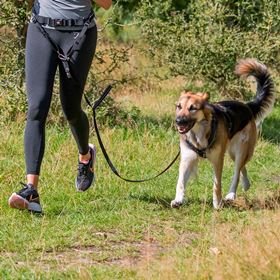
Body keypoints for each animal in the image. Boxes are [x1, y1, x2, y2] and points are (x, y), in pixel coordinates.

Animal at [172, 58, 274, 208]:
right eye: (179, 107)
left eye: (193, 108)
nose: (178, 121)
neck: (199, 133)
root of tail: (247, 106)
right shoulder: (187, 158)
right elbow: (180, 182)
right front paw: (178, 200)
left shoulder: (218, 160)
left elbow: (217, 185)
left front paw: (217, 203)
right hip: (232, 152)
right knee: (242, 167)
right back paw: (246, 184)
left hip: (240, 150)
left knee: (237, 171)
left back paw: (231, 195)